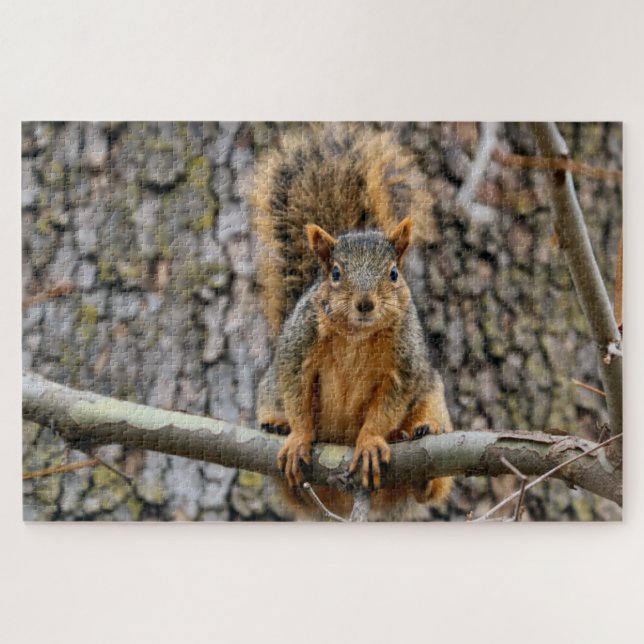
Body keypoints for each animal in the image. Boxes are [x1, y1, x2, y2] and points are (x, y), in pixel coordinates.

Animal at [251, 123, 453, 520]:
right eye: (335, 273)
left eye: (393, 274)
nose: (364, 304)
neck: (356, 335)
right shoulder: (298, 349)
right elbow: (297, 395)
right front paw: (298, 436)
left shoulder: (403, 367)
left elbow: (387, 406)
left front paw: (372, 441)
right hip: (269, 395)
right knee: (296, 491)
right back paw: (277, 426)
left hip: (434, 401)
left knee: (429, 486)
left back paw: (418, 439)